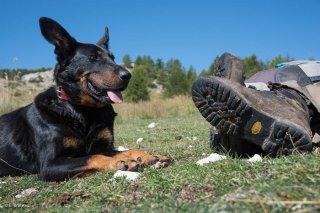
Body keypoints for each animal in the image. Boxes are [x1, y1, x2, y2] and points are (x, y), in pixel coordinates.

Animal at [0, 17, 171, 181]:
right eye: (93, 57)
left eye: (113, 58)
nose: (128, 75)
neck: (83, 110)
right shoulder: (49, 165)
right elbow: (92, 157)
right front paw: (119, 162)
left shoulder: (103, 147)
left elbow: (129, 150)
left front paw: (149, 156)